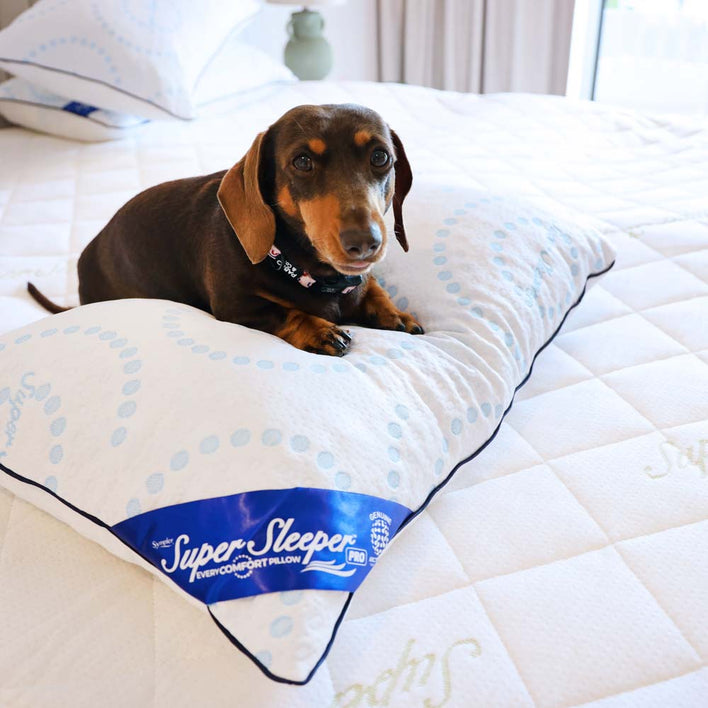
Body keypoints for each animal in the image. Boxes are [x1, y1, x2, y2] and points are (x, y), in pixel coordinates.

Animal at [27, 102, 424, 356]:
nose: (365, 243)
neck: (303, 267)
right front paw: (320, 329)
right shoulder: (235, 307)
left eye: (380, 157)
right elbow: (286, 312)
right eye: (302, 162)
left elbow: (373, 289)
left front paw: (394, 313)